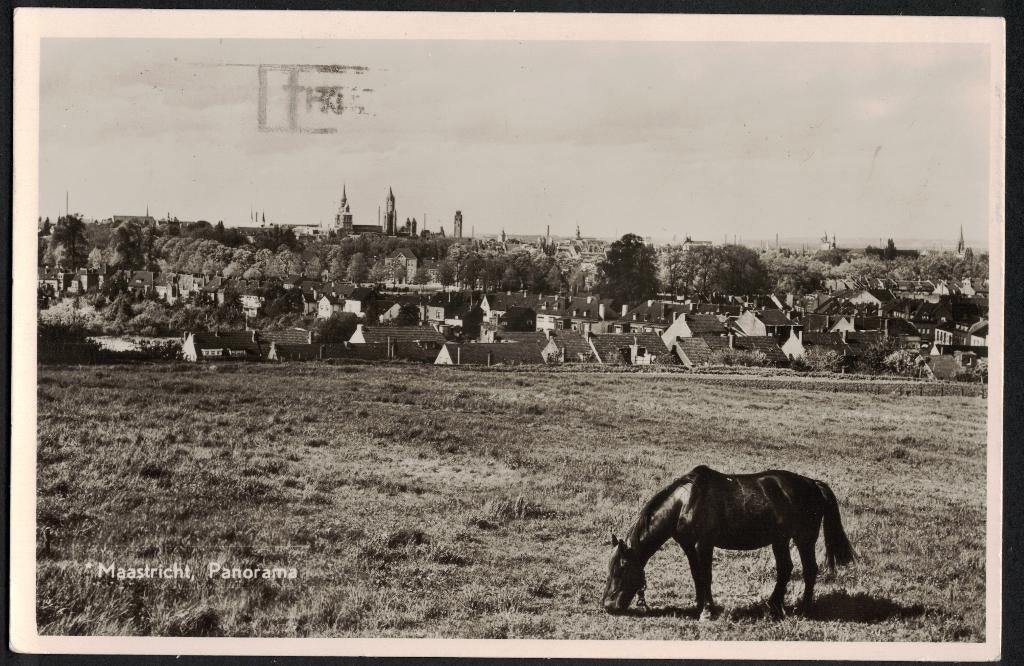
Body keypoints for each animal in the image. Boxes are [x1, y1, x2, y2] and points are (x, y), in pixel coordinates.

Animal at [602, 465, 855, 619]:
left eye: (621, 569)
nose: (608, 606)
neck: (685, 502)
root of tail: (813, 484)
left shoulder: (703, 545)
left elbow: (706, 576)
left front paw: (706, 611)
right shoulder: (689, 547)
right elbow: (697, 576)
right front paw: (700, 606)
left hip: (804, 538)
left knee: (809, 569)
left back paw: (803, 609)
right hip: (780, 540)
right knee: (785, 569)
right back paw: (773, 606)